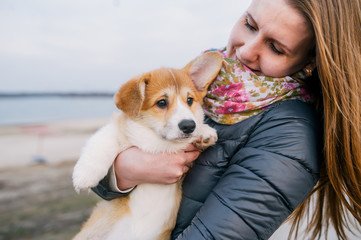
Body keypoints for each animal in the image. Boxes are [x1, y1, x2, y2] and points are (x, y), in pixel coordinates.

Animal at [71, 51, 222, 239]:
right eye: (162, 102)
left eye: (189, 100)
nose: (189, 126)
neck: (158, 143)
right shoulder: (118, 129)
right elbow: (104, 141)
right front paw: (85, 175)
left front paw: (203, 132)